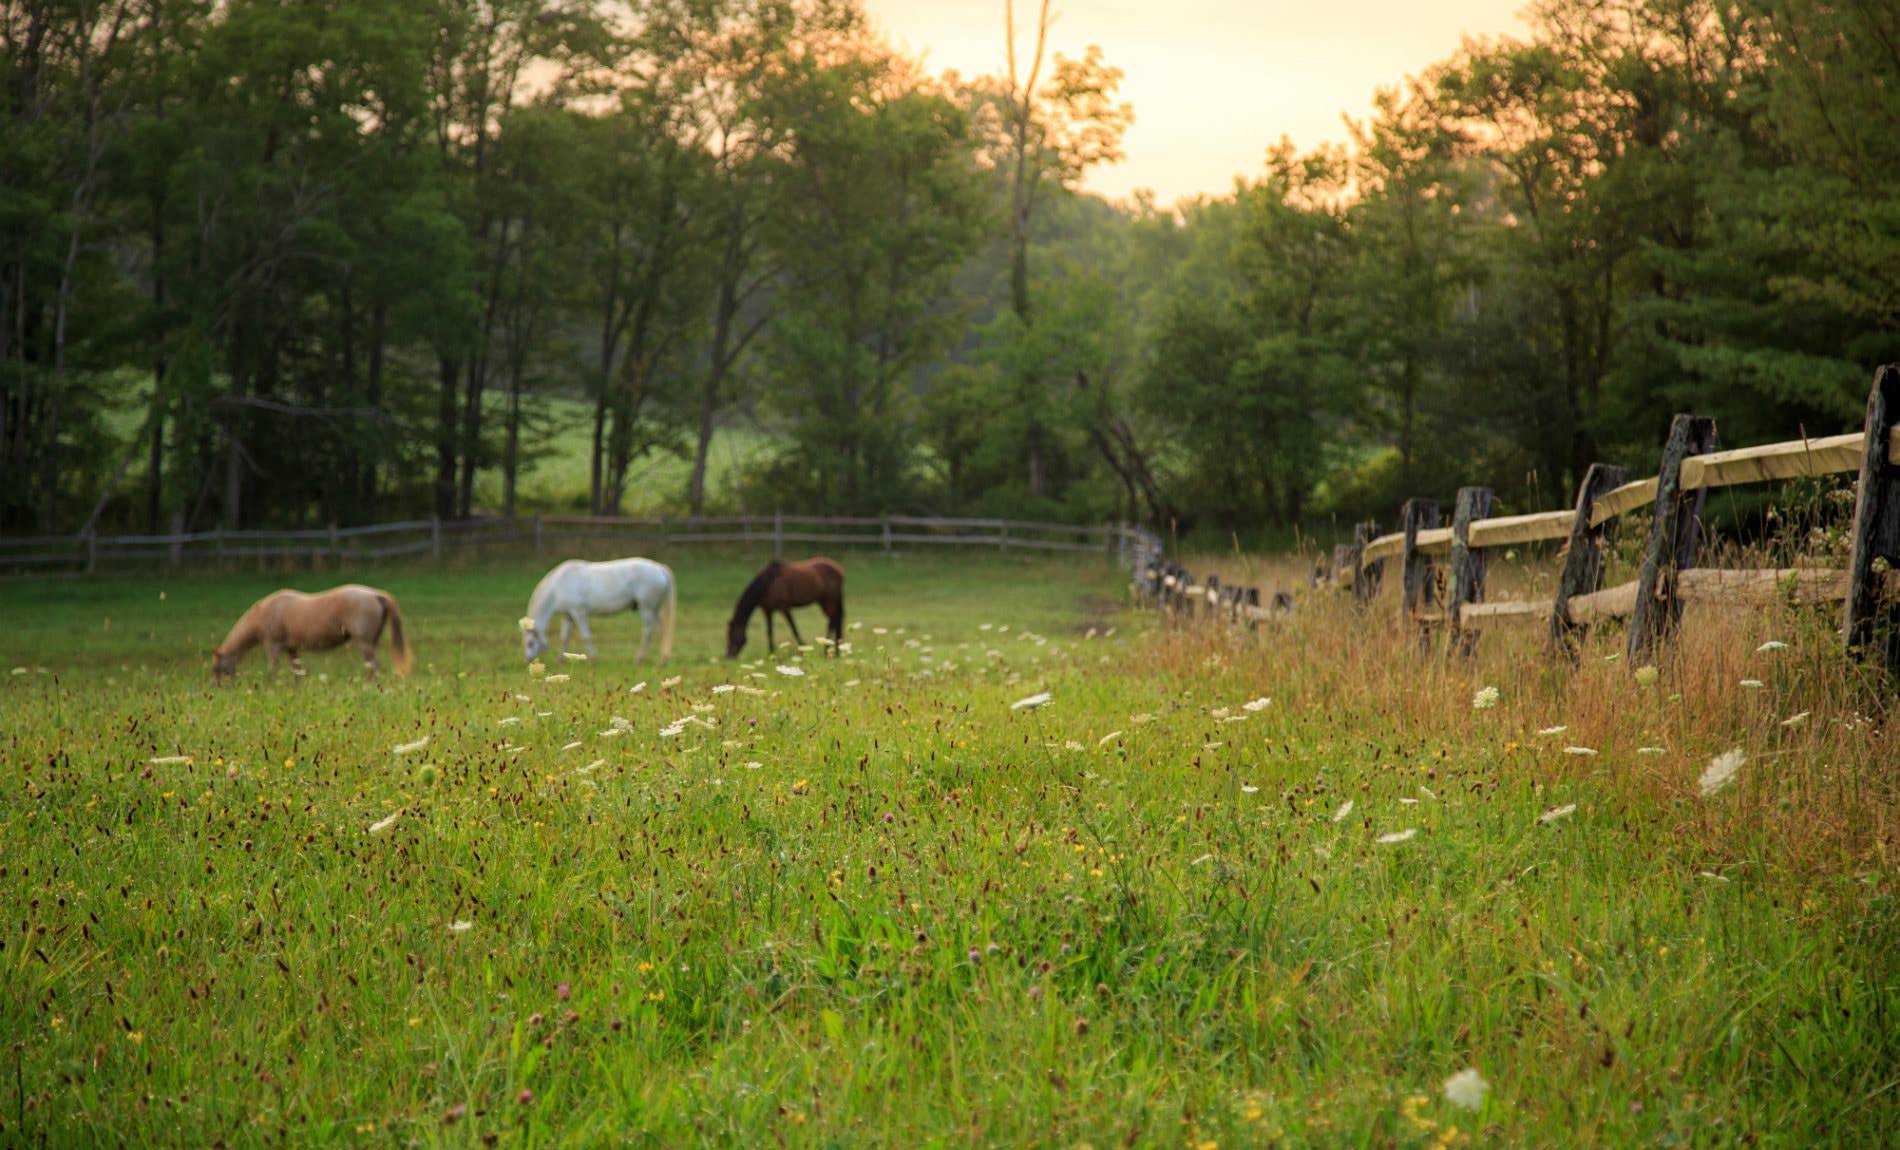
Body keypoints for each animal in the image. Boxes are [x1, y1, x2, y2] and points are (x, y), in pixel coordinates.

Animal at [211, 581, 412, 680]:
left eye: (218, 668)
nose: (219, 688)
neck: (265, 613)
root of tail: (376, 594)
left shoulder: (273, 646)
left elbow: (273, 669)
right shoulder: (291, 648)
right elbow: (297, 670)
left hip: (365, 643)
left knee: (374, 666)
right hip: (371, 642)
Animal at [520, 558, 676, 665]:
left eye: (530, 643)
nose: (528, 660)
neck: (558, 586)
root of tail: (660, 568)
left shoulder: (579, 612)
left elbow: (586, 636)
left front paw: (593, 659)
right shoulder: (568, 615)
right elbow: (564, 637)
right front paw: (560, 660)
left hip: (647, 608)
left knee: (648, 631)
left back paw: (639, 659)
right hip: (654, 609)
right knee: (663, 630)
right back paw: (663, 659)